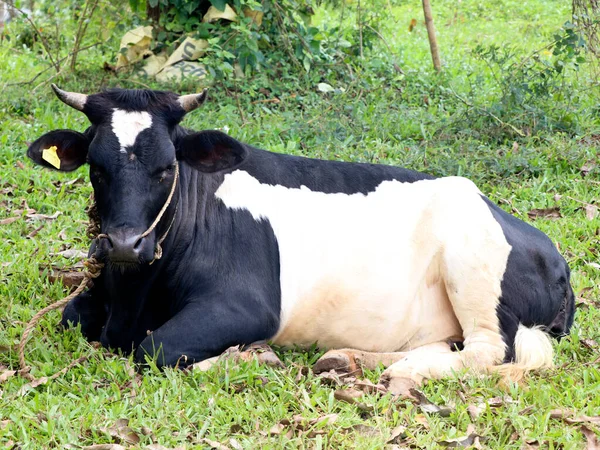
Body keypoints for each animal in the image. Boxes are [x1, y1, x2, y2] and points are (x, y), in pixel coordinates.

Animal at [27, 85, 576, 390]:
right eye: (96, 168)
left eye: (166, 168)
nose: (124, 245)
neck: (133, 296)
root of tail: (552, 253)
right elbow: (70, 316)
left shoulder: (247, 306)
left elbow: (154, 349)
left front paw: (244, 358)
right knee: (445, 345)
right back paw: (352, 359)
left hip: (472, 263)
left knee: (488, 350)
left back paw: (408, 373)